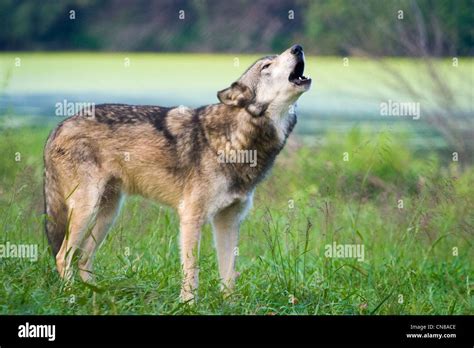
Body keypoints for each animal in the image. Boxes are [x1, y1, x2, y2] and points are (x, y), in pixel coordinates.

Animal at [43, 44, 312, 302]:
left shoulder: (228, 220)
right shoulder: (191, 217)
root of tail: (58, 127)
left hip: (108, 214)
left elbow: (228, 275)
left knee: (83, 259)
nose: (298, 47)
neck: (237, 138)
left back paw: (97, 295)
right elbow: (192, 271)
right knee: (62, 256)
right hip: (86, 210)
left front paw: (230, 305)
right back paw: (72, 296)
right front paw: (188, 305)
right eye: (267, 65)